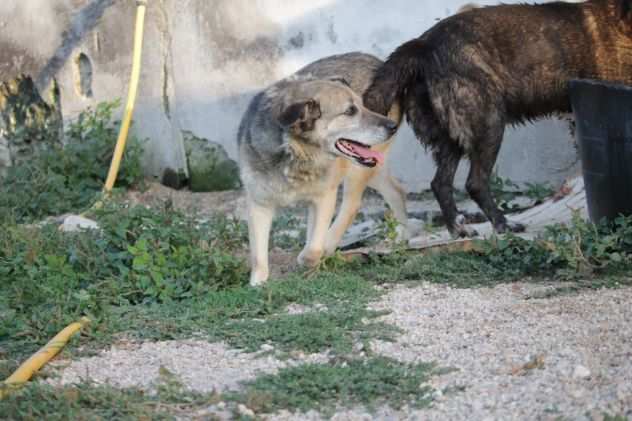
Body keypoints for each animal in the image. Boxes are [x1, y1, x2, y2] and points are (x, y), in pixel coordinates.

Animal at [239, 50, 408, 284]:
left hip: (357, 170)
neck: (297, 155)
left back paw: (331, 244)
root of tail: (379, 62)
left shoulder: (324, 196)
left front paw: (309, 258)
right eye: (350, 111)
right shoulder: (259, 204)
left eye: (362, 105)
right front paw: (258, 282)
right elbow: (258, 255)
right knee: (397, 191)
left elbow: (314, 247)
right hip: (371, 166)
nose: (391, 127)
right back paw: (403, 237)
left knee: (352, 206)